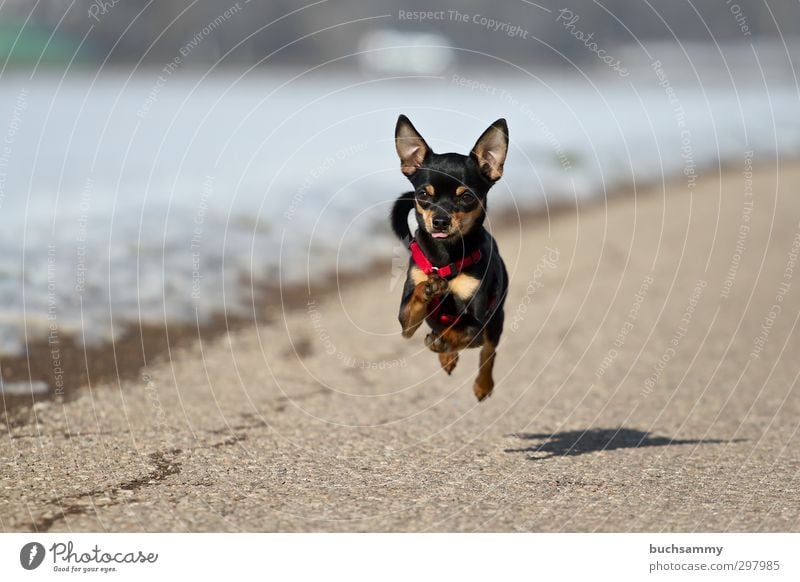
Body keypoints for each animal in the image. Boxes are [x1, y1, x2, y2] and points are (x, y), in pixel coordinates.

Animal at [390, 116, 510, 404]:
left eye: (466, 197)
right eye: (423, 195)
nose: (440, 220)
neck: (445, 255)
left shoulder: (478, 324)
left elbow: (462, 332)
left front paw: (444, 341)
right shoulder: (405, 323)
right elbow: (414, 306)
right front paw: (428, 290)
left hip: (495, 321)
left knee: (488, 353)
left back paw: (482, 384)